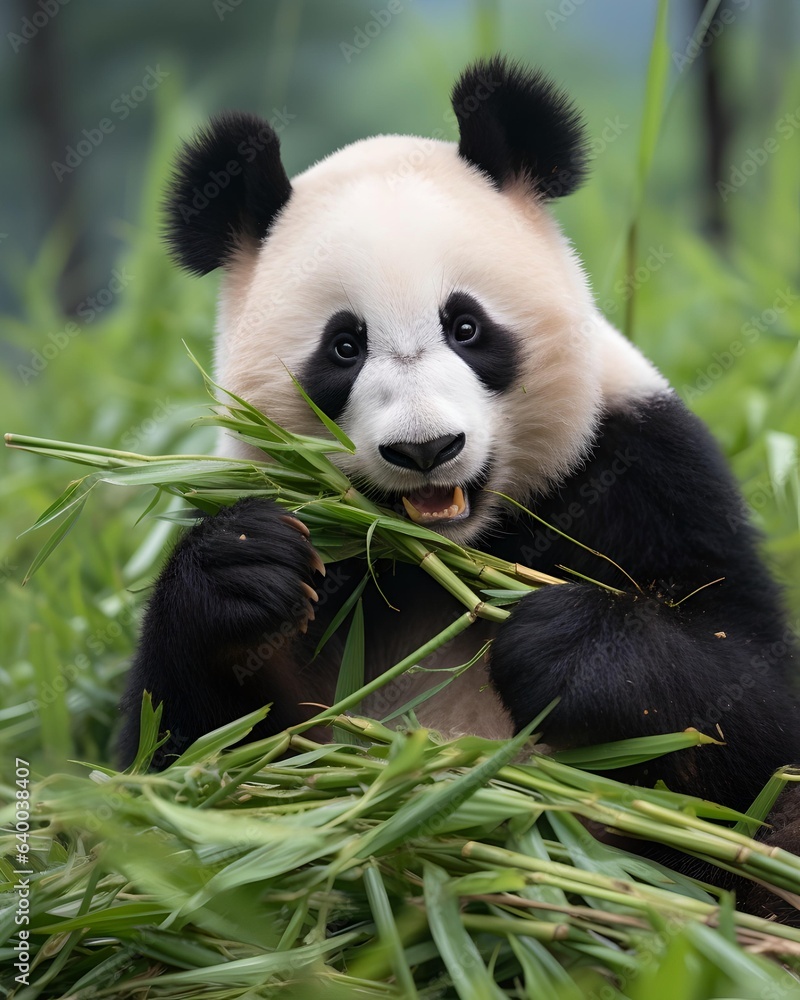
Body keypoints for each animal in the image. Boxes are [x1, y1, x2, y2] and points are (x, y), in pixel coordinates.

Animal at [119, 57, 799, 918]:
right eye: (344, 347)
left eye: (466, 327)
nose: (426, 448)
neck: (436, 556)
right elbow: (177, 772)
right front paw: (243, 567)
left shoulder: (645, 471)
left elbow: (752, 706)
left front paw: (565, 645)